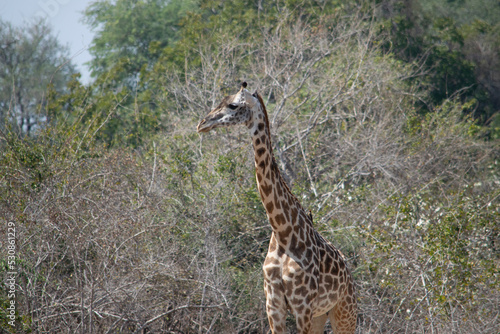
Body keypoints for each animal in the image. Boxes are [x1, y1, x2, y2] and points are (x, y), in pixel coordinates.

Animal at [197, 82, 358, 332]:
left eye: (233, 105)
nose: (202, 124)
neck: (282, 232)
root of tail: (349, 272)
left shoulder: (302, 306)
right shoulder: (273, 305)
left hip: (344, 311)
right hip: (321, 314)